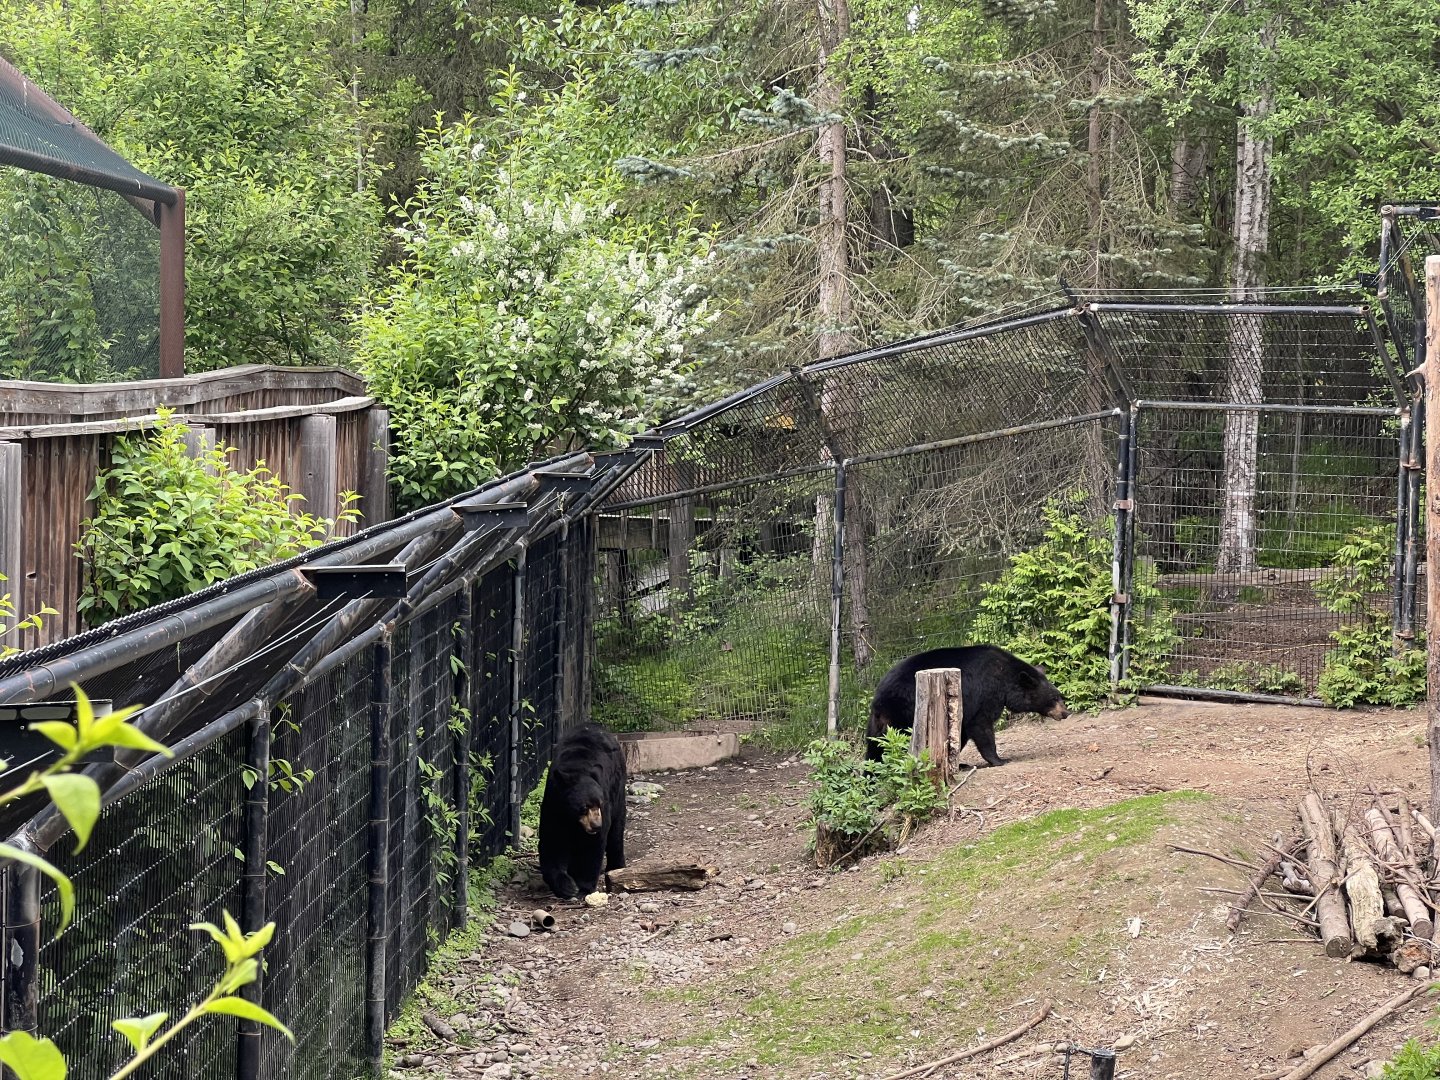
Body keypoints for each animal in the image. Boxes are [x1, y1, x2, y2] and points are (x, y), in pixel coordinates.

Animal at [537, 723, 628, 900]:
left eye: (600, 803)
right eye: (584, 806)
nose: (596, 825)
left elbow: (592, 846)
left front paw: (583, 888)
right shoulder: (554, 804)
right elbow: (552, 841)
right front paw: (566, 886)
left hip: (618, 789)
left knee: (616, 831)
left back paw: (616, 867)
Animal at [864, 644, 1068, 767]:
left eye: (1060, 696)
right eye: (1054, 698)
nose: (1065, 713)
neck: (1005, 678)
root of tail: (878, 698)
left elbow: (959, 733)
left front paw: (957, 762)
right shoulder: (985, 693)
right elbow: (982, 726)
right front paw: (1000, 759)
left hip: (881, 722)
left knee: (875, 748)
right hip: (905, 711)